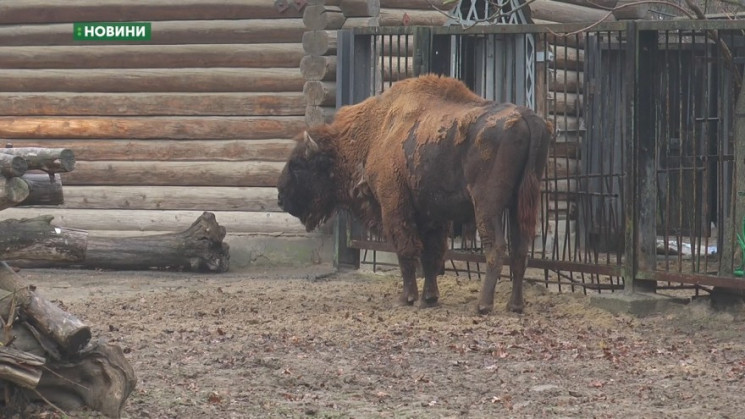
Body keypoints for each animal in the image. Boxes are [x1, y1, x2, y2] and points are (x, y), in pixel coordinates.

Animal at [276, 74, 548, 314]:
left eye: (298, 164)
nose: (280, 197)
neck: (376, 133)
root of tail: (526, 117)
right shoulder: (432, 215)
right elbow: (431, 255)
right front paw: (429, 298)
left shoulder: (394, 206)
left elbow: (406, 251)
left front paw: (406, 298)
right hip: (522, 205)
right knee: (520, 250)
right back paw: (515, 305)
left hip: (487, 206)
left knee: (496, 247)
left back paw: (483, 305)